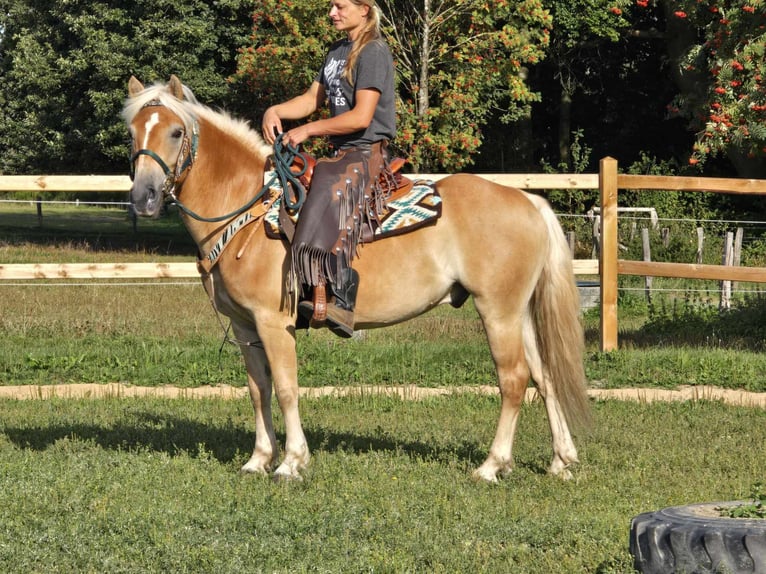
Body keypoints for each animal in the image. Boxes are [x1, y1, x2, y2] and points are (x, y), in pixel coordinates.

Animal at [124, 74, 592, 484]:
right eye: (133, 133)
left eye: (176, 132)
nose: (144, 197)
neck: (247, 211)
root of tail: (528, 201)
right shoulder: (244, 326)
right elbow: (259, 389)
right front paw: (258, 459)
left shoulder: (273, 322)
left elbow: (287, 387)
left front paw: (291, 462)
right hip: (519, 312)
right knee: (544, 376)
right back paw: (561, 461)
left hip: (497, 310)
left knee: (513, 380)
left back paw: (492, 466)